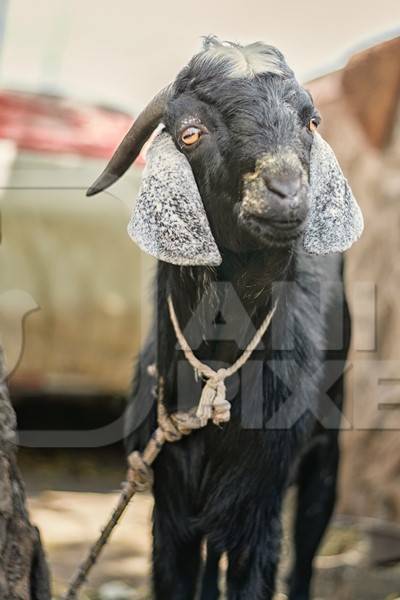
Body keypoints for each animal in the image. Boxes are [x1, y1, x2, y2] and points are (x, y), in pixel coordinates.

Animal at [87, 36, 362, 600]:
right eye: (190, 132)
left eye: (311, 121)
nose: (286, 192)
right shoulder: (171, 500)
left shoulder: (259, 499)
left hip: (327, 446)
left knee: (307, 547)